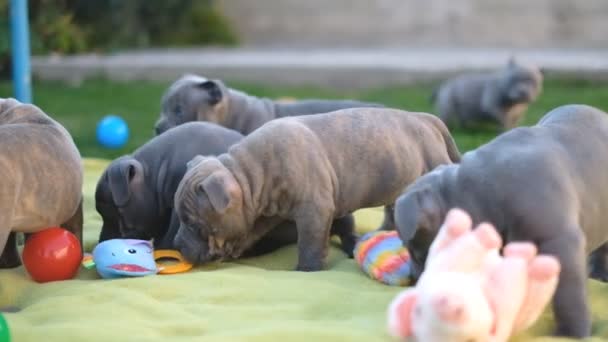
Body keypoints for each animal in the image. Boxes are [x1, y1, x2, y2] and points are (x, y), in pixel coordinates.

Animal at [173, 108, 458, 272]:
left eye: (195, 226)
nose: (177, 243)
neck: (249, 174)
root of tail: (426, 118)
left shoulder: (314, 210)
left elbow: (310, 241)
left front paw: (307, 268)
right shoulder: (264, 213)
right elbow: (251, 230)